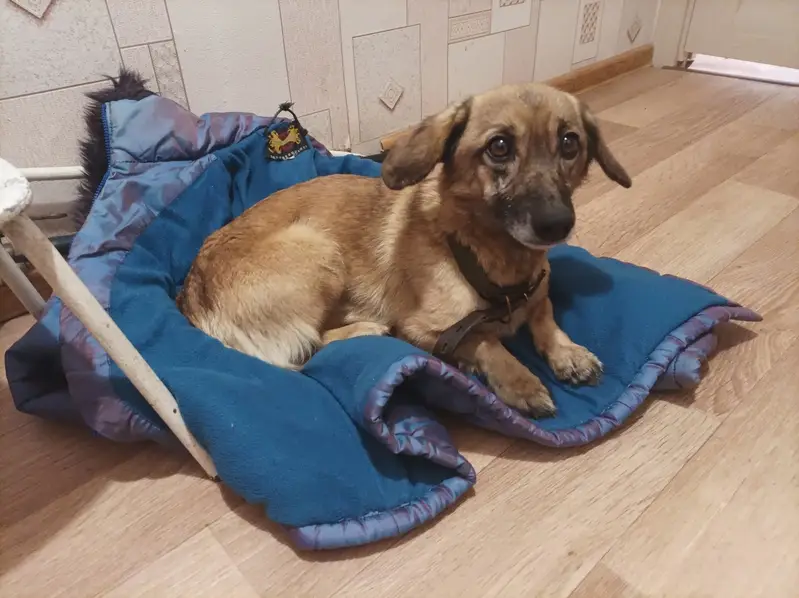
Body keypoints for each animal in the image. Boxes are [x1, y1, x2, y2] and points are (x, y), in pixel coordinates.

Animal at [177, 83, 631, 417]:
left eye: (570, 143)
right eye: (499, 146)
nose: (557, 224)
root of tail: (191, 292)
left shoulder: (537, 292)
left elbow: (544, 315)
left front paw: (567, 352)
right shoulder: (424, 330)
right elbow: (484, 340)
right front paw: (518, 379)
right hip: (318, 251)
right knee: (313, 344)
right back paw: (364, 328)